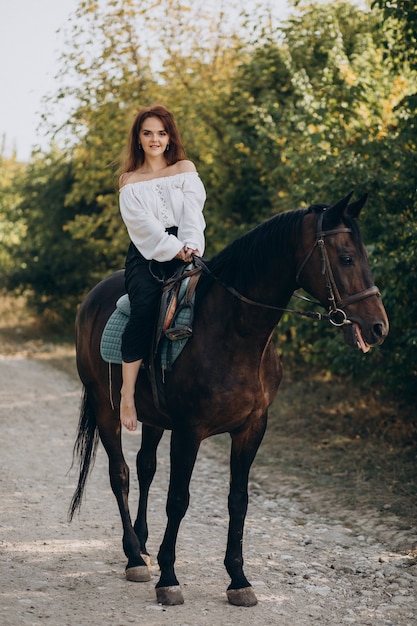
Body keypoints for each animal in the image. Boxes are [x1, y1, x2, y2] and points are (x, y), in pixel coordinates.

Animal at [69, 191, 386, 604]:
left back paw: (142, 544)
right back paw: (135, 558)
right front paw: (169, 579)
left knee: (145, 467)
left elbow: (238, 500)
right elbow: (178, 500)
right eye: (347, 257)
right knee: (119, 474)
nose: (378, 327)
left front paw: (238, 579)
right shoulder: (189, 431)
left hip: (152, 418)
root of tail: (91, 299)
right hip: (107, 409)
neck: (231, 332)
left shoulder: (251, 429)